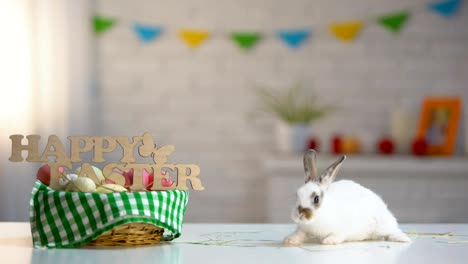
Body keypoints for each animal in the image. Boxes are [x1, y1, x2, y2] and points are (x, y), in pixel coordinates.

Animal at [282, 150, 410, 246]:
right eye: (297, 195)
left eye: (316, 199)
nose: (299, 214)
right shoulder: (303, 229)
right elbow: (299, 234)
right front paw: (289, 240)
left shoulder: (342, 229)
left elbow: (337, 235)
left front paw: (328, 241)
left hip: (383, 225)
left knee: (393, 230)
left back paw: (403, 239)